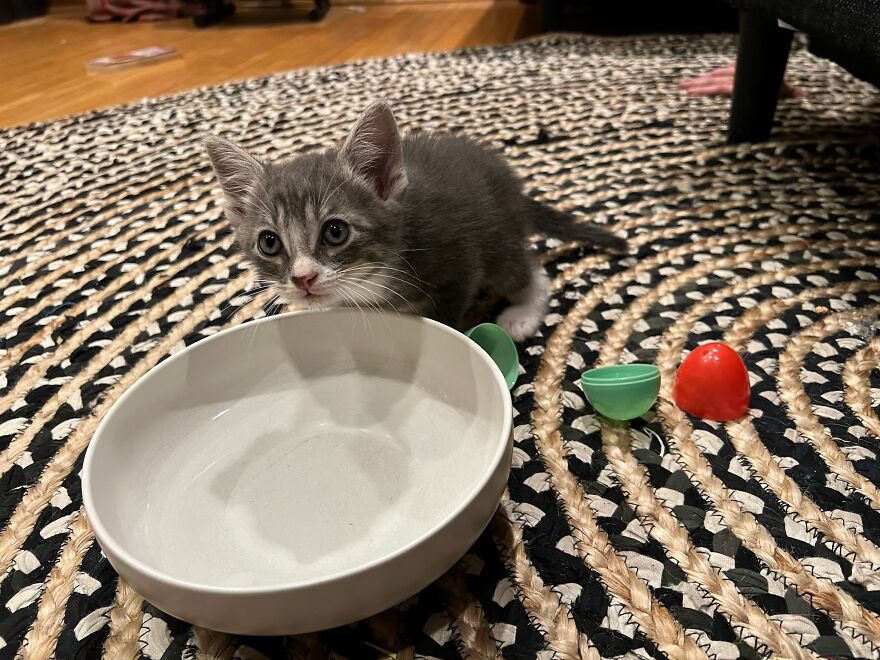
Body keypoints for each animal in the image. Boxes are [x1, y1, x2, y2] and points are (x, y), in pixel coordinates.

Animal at [205, 100, 626, 341]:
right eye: (269, 242)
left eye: (336, 231)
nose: (303, 279)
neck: (375, 276)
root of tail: (514, 191)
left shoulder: (458, 262)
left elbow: (449, 316)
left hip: (497, 238)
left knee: (528, 270)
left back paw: (523, 311)